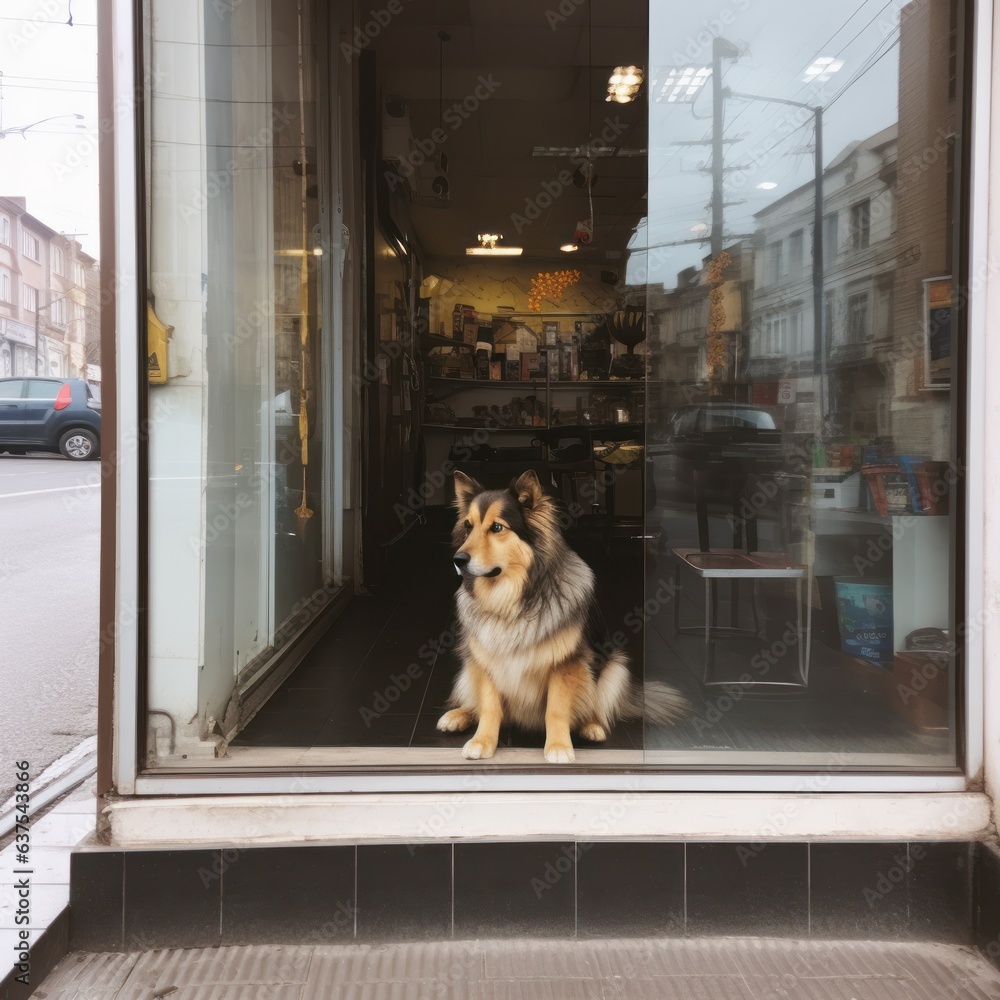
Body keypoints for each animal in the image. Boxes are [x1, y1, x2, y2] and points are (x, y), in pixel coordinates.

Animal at [438, 466, 688, 756]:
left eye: (497, 527)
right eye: (468, 527)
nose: (458, 560)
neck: (513, 599)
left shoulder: (565, 664)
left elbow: (556, 710)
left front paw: (558, 746)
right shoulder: (486, 661)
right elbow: (489, 707)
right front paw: (482, 741)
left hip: (615, 667)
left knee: (595, 707)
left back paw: (591, 727)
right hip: (469, 666)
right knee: (474, 703)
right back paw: (457, 716)